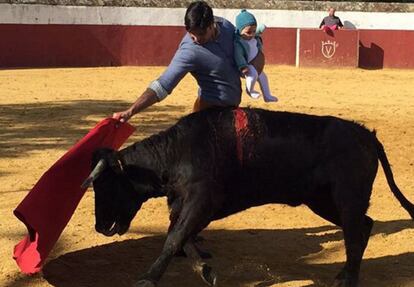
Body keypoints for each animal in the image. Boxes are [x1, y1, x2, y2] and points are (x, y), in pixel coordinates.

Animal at [83, 108, 414, 287]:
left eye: (105, 186)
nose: (100, 227)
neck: (177, 152)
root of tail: (367, 135)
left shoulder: (201, 200)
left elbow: (175, 238)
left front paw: (147, 278)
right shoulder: (186, 204)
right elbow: (180, 236)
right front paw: (205, 270)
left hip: (346, 197)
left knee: (355, 233)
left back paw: (347, 279)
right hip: (322, 200)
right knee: (363, 225)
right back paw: (344, 272)